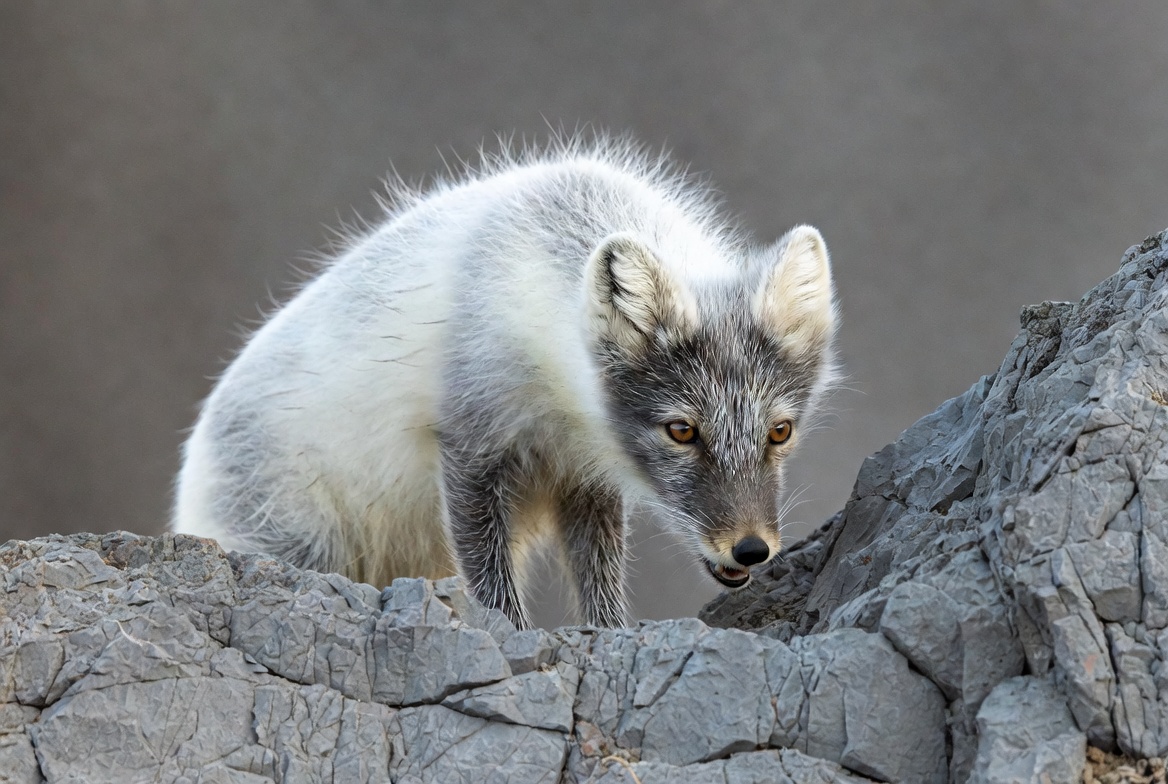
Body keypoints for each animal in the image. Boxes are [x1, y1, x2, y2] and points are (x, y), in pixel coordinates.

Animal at [173, 137, 839, 630]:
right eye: (682, 431)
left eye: (780, 432)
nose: (751, 549)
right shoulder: (469, 448)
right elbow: (492, 586)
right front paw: (512, 639)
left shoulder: (583, 480)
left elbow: (599, 581)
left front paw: (610, 635)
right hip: (297, 543)